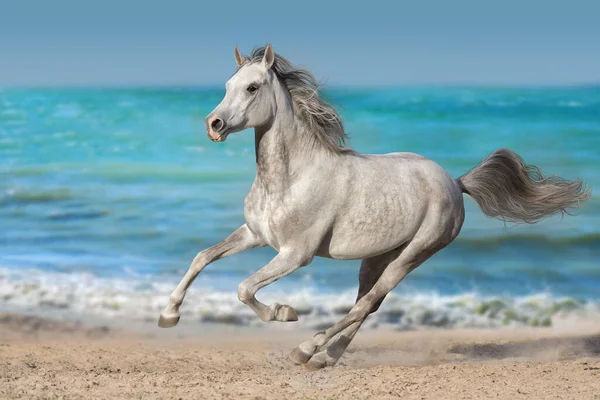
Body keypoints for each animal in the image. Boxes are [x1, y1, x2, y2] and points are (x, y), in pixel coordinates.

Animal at [156, 43, 592, 368]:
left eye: (252, 88)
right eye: (228, 84)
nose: (213, 125)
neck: (292, 177)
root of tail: (455, 183)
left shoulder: (295, 254)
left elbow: (245, 288)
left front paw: (283, 312)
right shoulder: (255, 235)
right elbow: (202, 257)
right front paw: (169, 316)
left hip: (413, 255)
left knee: (367, 302)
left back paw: (307, 350)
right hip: (378, 257)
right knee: (370, 303)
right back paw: (325, 357)